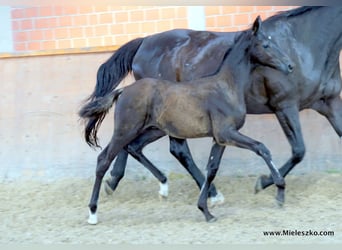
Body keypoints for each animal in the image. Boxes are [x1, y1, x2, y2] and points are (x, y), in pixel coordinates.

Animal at [80, 18, 292, 225]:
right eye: (266, 44)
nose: (290, 66)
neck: (226, 86)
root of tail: (123, 90)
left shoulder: (220, 139)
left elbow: (212, 169)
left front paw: (206, 210)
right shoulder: (227, 133)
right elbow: (261, 148)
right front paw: (280, 192)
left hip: (152, 129)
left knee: (134, 148)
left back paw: (161, 184)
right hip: (126, 130)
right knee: (104, 159)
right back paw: (93, 212)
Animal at [83, 5, 342, 201]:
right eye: (267, 45)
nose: (289, 66)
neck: (302, 42)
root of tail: (144, 41)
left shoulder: (329, 102)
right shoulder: (284, 105)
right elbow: (298, 151)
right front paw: (264, 182)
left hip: (155, 122)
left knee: (131, 145)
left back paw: (119, 182)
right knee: (173, 149)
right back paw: (210, 193)